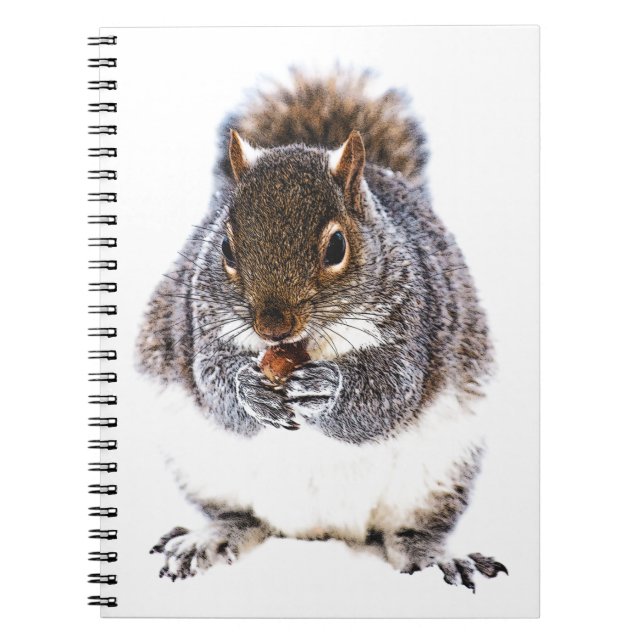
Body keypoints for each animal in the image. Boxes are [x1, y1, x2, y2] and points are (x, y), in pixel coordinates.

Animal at [138, 70, 507, 591]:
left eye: (336, 247)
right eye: (225, 247)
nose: (272, 326)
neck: (304, 345)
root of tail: (319, 531)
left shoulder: (414, 326)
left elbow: (389, 395)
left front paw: (326, 390)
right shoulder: (200, 324)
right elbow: (213, 383)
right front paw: (249, 389)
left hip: (438, 474)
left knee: (411, 530)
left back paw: (435, 557)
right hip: (203, 467)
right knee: (239, 516)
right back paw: (209, 538)